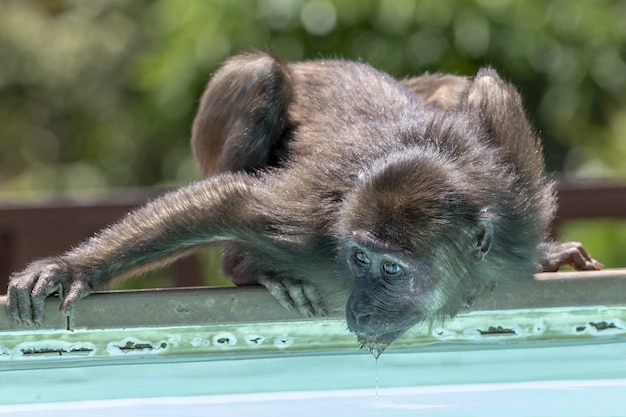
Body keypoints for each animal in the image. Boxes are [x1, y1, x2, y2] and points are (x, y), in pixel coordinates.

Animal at [4, 52, 600, 358]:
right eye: (359, 259)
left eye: (392, 270)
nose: (359, 307)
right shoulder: (317, 232)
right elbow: (232, 203)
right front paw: (69, 268)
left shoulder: (516, 212)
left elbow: (488, 93)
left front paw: (547, 256)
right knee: (261, 74)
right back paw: (248, 268)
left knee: (462, 90)